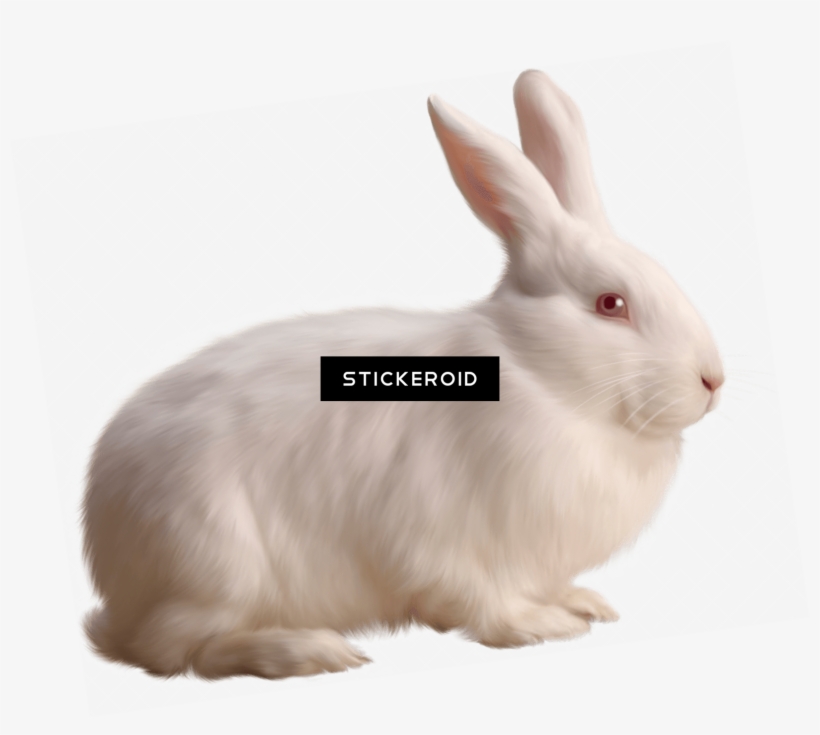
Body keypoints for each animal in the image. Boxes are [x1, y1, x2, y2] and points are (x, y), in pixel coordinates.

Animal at [82, 69, 724, 680]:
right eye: (611, 304)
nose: (713, 380)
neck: (538, 376)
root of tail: (114, 576)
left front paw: (581, 601)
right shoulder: (441, 536)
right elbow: (479, 599)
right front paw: (540, 625)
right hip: (217, 561)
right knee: (180, 650)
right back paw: (308, 650)